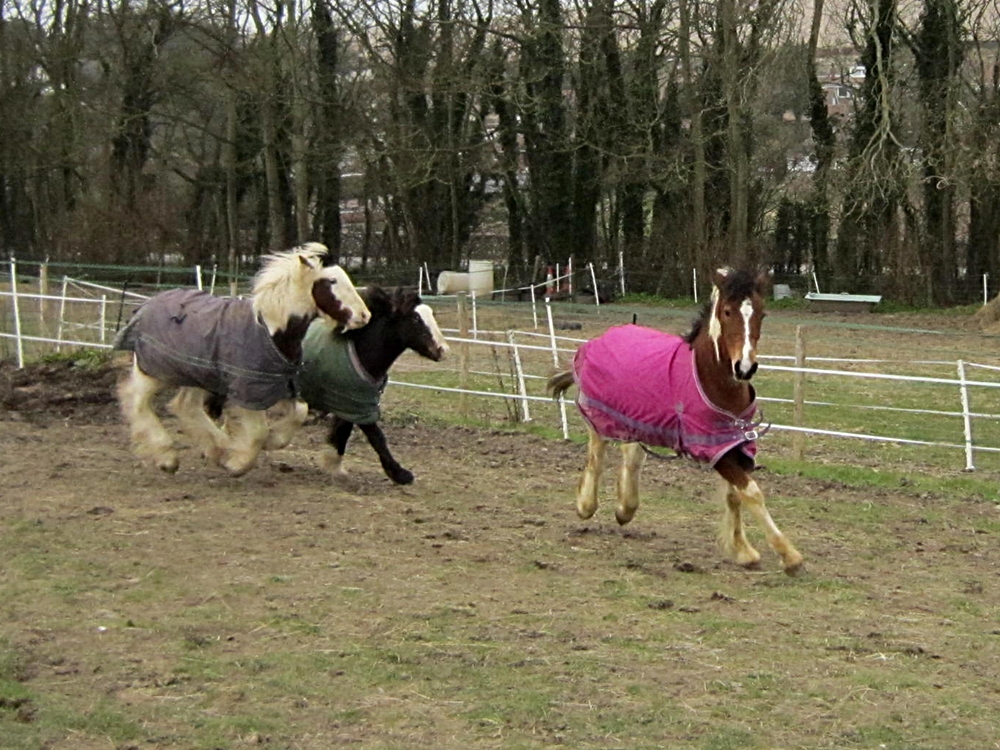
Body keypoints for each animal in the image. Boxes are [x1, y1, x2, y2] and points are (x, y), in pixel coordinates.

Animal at [113, 242, 371, 477]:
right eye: (332, 282)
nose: (364, 316)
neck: (270, 331)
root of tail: (145, 306)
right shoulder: (248, 389)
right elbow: (257, 431)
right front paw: (238, 464)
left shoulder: (276, 385)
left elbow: (300, 411)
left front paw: (268, 442)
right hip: (153, 371)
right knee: (137, 400)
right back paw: (168, 457)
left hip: (198, 375)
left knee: (186, 406)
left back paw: (219, 449)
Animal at [548, 267, 803, 574]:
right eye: (727, 311)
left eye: (762, 313)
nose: (744, 367)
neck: (711, 382)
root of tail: (597, 341)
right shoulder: (714, 451)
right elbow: (751, 493)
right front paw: (789, 556)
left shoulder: (733, 445)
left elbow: (735, 495)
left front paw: (742, 550)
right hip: (601, 416)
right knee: (597, 456)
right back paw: (586, 505)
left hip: (639, 420)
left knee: (632, 454)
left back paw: (625, 509)